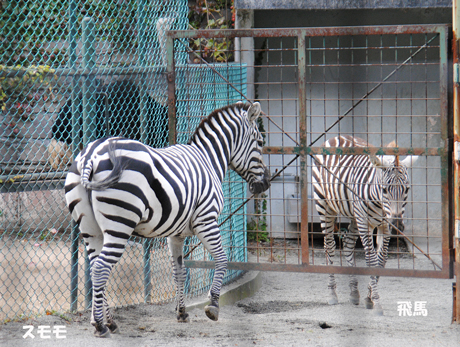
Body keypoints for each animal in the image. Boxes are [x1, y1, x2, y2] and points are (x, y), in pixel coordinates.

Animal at [63, 102, 270, 338]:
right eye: (260, 142)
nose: (266, 184)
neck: (209, 160)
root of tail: (91, 155)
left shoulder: (176, 234)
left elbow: (179, 272)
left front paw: (182, 313)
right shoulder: (206, 220)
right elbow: (221, 258)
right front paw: (213, 305)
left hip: (90, 229)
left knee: (95, 267)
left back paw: (110, 322)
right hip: (119, 224)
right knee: (100, 269)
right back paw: (100, 325)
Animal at [312, 135, 416, 316]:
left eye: (407, 189)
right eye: (384, 190)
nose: (397, 224)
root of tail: (336, 137)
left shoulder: (385, 226)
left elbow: (381, 261)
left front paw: (369, 298)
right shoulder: (365, 224)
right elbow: (371, 260)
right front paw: (377, 302)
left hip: (354, 215)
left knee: (348, 244)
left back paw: (354, 292)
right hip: (325, 205)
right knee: (329, 245)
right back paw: (332, 294)